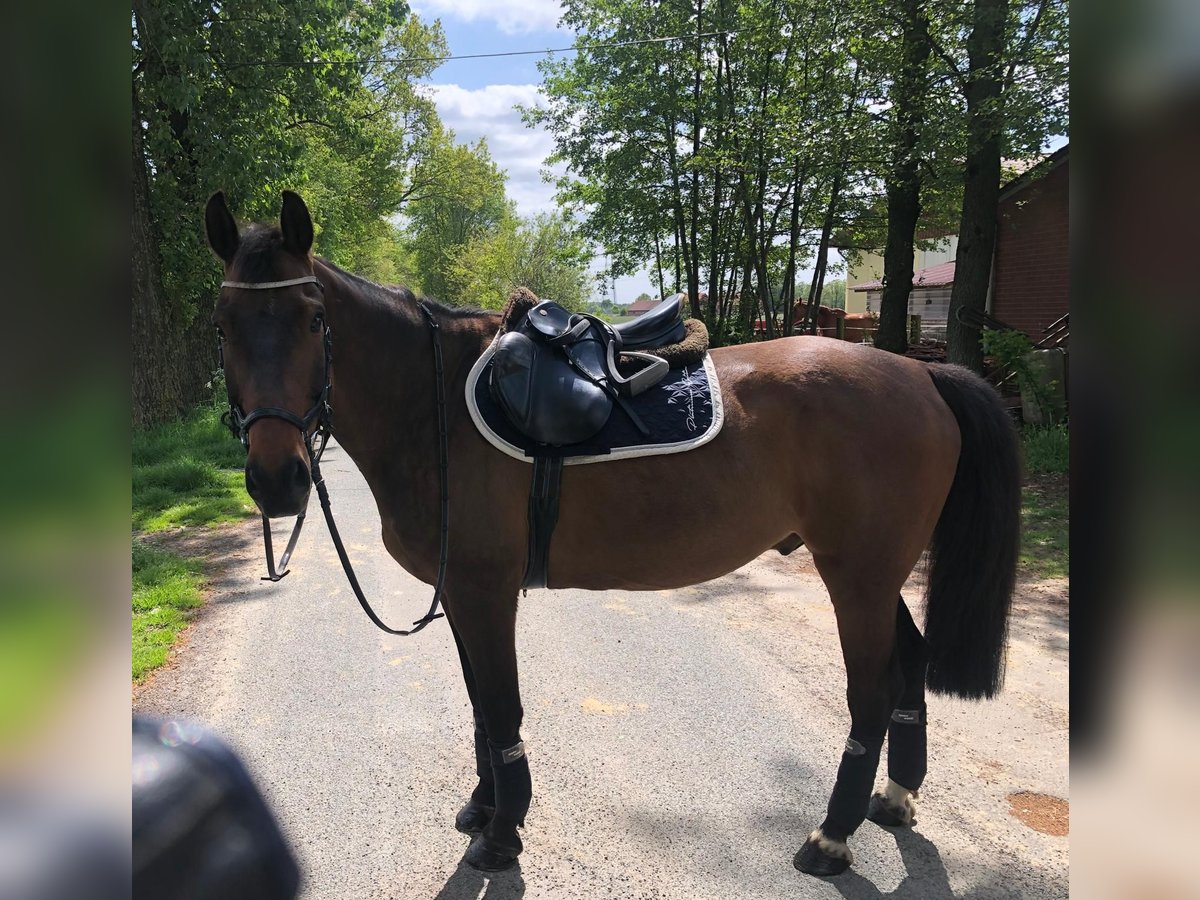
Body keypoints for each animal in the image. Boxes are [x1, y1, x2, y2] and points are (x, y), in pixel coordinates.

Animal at [206, 192, 1022, 883]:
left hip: (857, 574)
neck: (434, 410)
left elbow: (501, 706)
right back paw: (896, 799)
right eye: (222, 326)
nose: (277, 479)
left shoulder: (484, 592)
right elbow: (479, 706)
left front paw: (503, 833)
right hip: (877, 575)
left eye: (315, 320)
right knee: (909, 663)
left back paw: (831, 837)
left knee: (871, 693)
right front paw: (484, 807)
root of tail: (923, 376)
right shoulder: (462, 596)